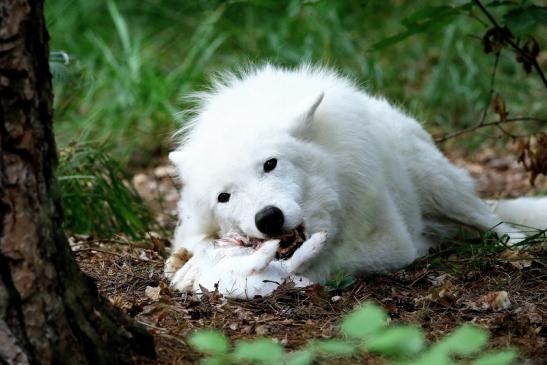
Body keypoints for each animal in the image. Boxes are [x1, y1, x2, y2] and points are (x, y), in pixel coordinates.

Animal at [166, 64, 547, 292]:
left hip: (445, 189)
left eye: (270, 164)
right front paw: (193, 265)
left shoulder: (393, 243)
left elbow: (322, 262)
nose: (268, 218)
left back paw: (517, 247)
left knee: (497, 223)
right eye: (224, 197)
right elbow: (195, 246)